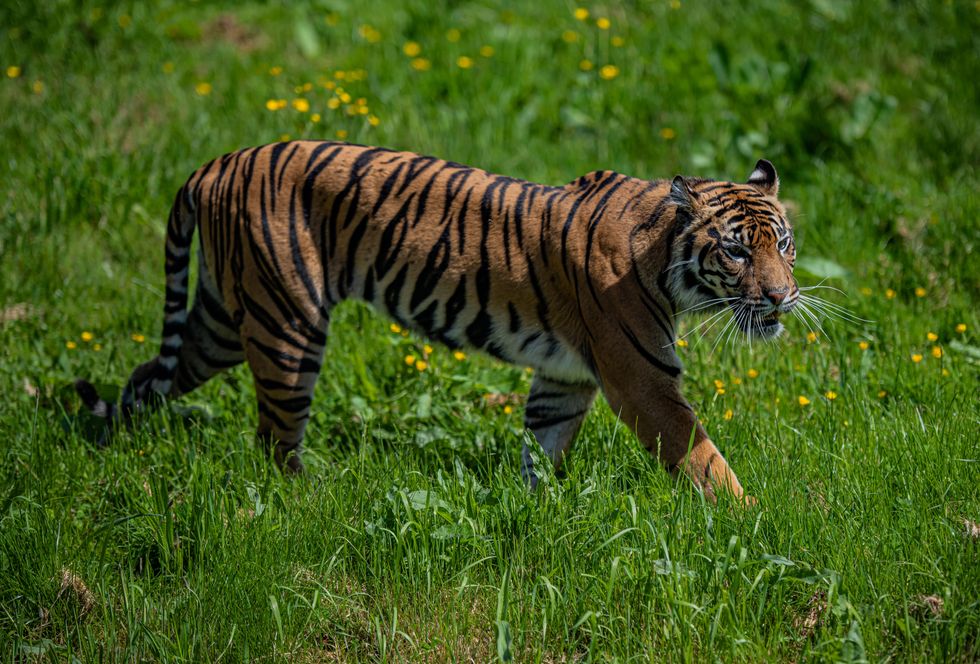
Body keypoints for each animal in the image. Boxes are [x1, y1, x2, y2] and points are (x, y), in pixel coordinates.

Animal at [74, 141, 796, 504]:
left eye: (784, 244)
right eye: (736, 251)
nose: (783, 298)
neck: (663, 256)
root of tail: (215, 163)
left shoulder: (565, 378)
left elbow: (543, 445)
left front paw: (535, 511)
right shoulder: (641, 380)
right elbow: (702, 457)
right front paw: (752, 522)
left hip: (224, 317)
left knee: (147, 378)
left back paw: (111, 444)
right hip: (288, 325)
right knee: (273, 442)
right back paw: (307, 504)